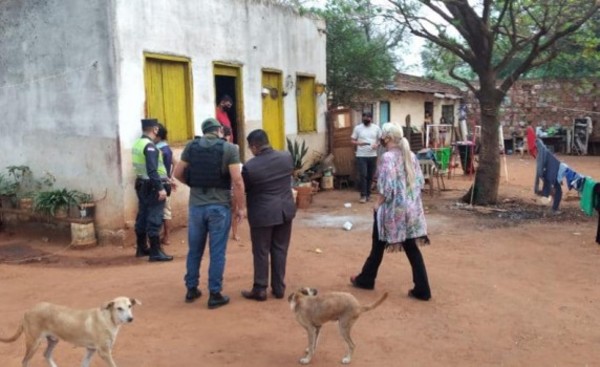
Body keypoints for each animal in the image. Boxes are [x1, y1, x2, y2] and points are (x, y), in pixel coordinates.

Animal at [0, 296, 141, 367]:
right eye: (119, 308)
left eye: (129, 306)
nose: (131, 319)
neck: (108, 319)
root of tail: (28, 310)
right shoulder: (104, 352)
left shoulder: (90, 350)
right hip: (34, 343)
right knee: (24, 361)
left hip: (53, 341)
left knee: (46, 355)